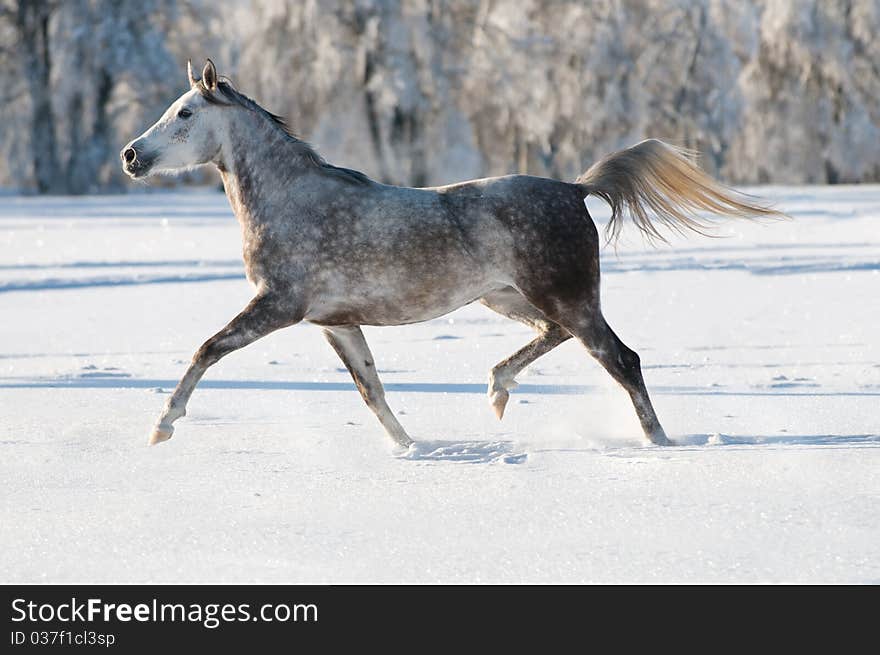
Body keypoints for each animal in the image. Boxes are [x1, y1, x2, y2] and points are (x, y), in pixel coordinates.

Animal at [120, 60, 780, 452]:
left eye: (184, 113)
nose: (131, 155)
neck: (293, 200)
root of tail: (574, 189)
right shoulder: (336, 323)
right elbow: (371, 389)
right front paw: (410, 448)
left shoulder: (278, 305)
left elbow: (207, 350)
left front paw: (161, 426)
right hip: (511, 298)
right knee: (556, 338)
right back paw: (497, 392)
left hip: (565, 297)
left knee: (623, 359)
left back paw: (660, 443)